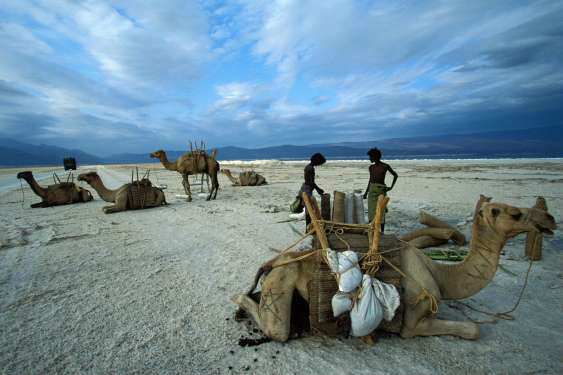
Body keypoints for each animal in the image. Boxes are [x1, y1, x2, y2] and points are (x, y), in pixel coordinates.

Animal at [231, 197, 556, 344]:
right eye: (515, 213)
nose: (549, 218)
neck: (441, 276)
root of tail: (272, 263)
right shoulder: (413, 323)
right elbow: (472, 330)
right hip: (279, 283)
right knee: (276, 329)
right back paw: (238, 304)